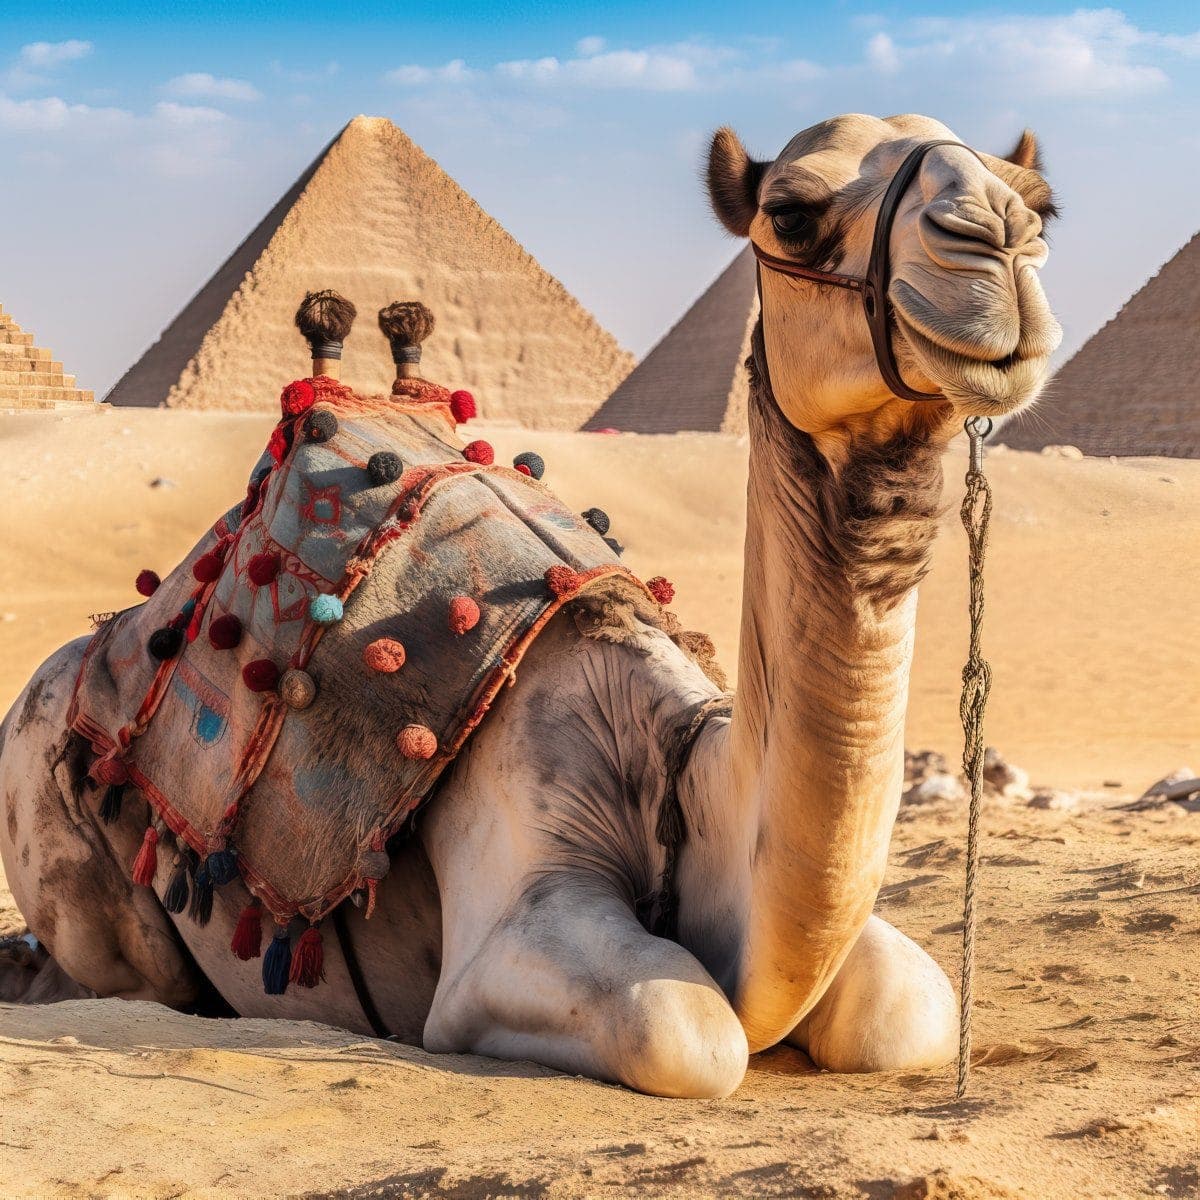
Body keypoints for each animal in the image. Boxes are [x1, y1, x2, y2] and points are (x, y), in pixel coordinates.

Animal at [0, 113, 1060, 1099]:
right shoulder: (503, 945)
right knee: (111, 972)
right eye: (791, 213)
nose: (998, 242)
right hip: (64, 836)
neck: (684, 772)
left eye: (1042, 206)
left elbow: (909, 1006)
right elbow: (685, 1029)